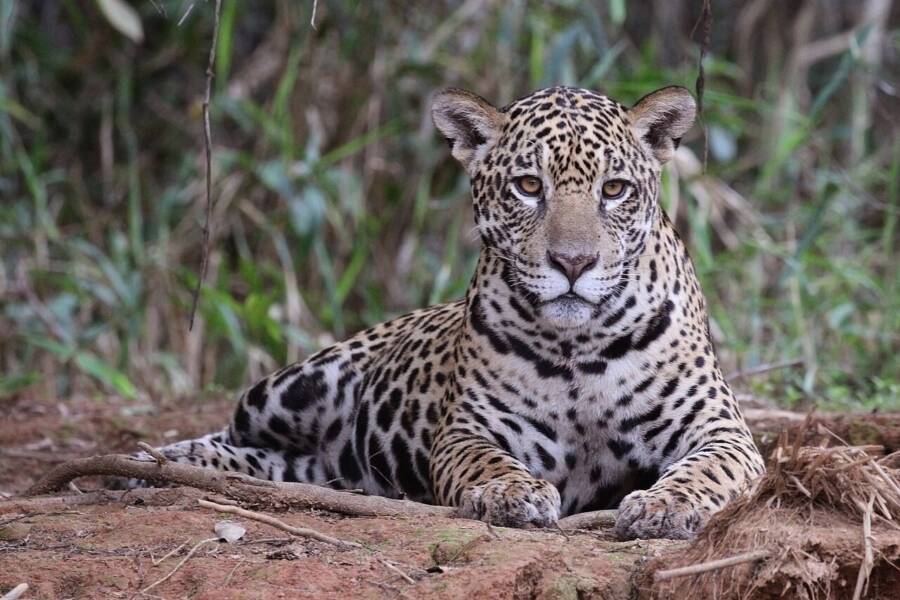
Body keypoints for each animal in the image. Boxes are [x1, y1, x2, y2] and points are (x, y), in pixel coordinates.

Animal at [140, 84, 765, 540]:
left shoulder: (721, 429)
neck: (579, 345)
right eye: (527, 186)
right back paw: (159, 462)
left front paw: (667, 506)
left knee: (277, 466)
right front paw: (513, 493)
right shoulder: (470, 428)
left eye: (614, 189)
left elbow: (707, 468)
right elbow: (485, 462)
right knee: (231, 434)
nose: (573, 261)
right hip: (290, 389)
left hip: (316, 462)